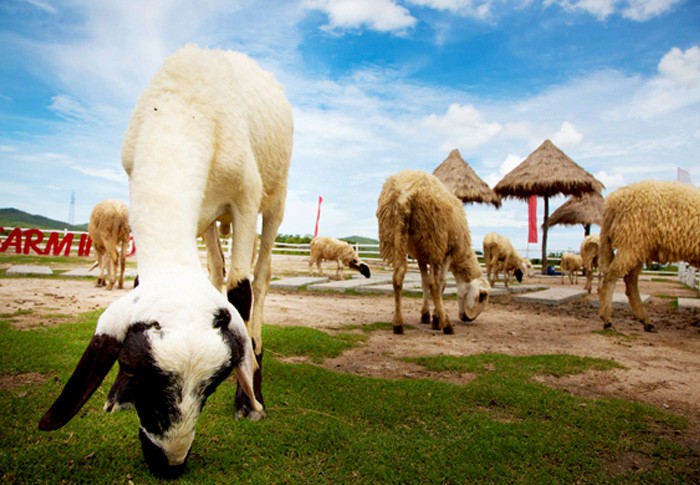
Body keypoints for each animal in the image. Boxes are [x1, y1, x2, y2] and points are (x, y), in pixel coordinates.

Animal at [37, 44, 294, 476]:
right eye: (131, 369)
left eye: (213, 383)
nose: (169, 463)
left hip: (275, 198)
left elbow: (240, 292)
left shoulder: (245, 198)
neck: (183, 111)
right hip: (209, 219)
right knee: (216, 269)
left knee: (258, 280)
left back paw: (256, 367)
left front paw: (247, 399)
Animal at [378, 169, 492, 332]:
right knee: (435, 284)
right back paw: (446, 325)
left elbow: (424, 282)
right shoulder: (446, 253)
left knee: (398, 275)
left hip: (395, 234)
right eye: (482, 297)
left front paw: (425, 315)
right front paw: (436, 318)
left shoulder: (421, 255)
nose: (467, 319)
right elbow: (440, 284)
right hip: (433, 238)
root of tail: (405, 193)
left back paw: (398, 324)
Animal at [596, 180, 700, 330]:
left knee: (630, 281)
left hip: (638, 247)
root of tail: (612, 201)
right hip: (631, 240)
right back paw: (607, 320)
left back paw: (646, 321)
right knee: (612, 275)